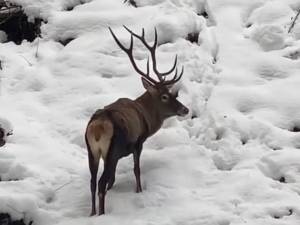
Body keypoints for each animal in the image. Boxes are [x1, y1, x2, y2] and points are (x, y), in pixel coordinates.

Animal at [84, 26, 189, 216]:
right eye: (164, 96)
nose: (185, 109)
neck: (146, 116)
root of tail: (98, 128)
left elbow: (113, 179)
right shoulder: (138, 142)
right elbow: (136, 170)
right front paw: (139, 191)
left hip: (92, 151)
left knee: (93, 182)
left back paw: (92, 213)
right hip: (111, 150)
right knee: (101, 183)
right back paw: (102, 214)